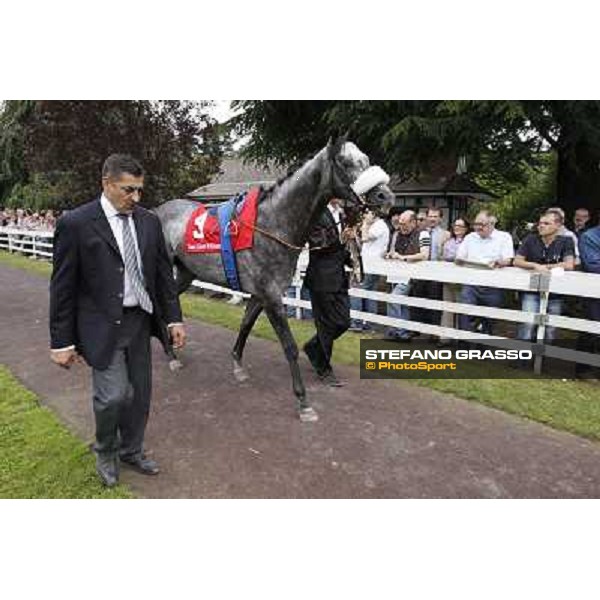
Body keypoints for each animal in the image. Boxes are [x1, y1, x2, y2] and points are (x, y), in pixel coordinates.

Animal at [155, 139, 394, 422]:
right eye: (346, 162)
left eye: (366, 159)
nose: (385, 196)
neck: (271, 224)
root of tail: (155, 211)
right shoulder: (271, 296)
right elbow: (289, 346)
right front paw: (303, 402)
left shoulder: (261, 294)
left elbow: (245, 326)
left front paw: (237, 366)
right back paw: (170, 353)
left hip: (185, 272)